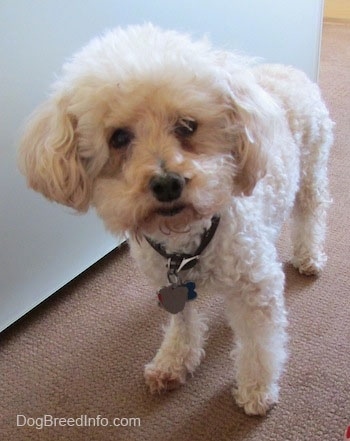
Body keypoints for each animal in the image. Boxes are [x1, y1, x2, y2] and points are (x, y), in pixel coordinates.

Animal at [18, 24, 334, 414]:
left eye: (187, 126)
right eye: (118, 137)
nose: (167, 183)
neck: (186, 243)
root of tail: (288, 70)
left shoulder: (254, 288)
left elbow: (259, 347)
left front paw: (257, 390)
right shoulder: (167, 283)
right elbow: (181, 323)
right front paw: (172, 363)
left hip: (311, 170)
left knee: (311, 212)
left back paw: (309, 256)